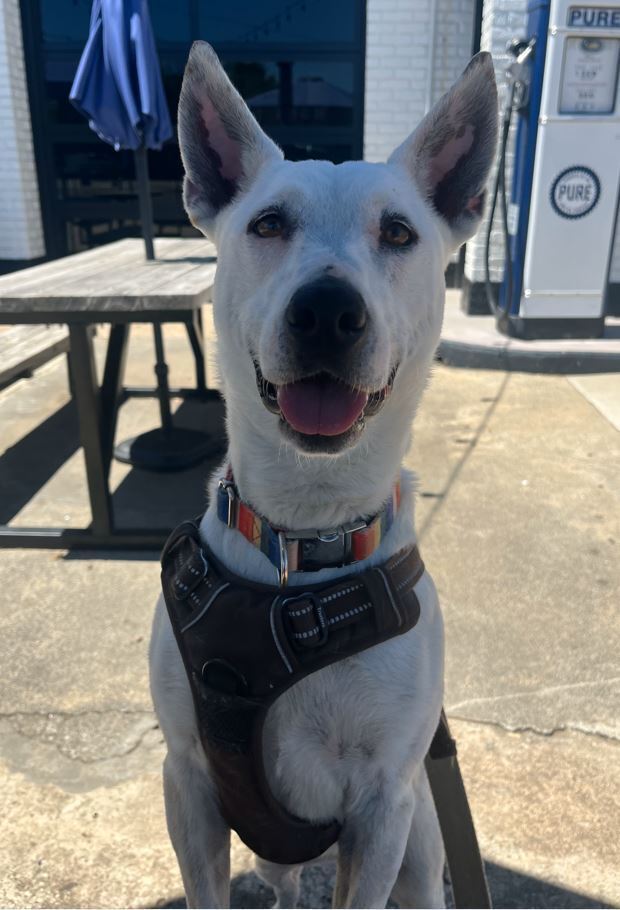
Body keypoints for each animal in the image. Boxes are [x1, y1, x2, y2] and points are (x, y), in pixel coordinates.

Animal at [151, 42, 498, 910]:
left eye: (399, 232)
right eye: (269, 223)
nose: (328, 312)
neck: (303, 541)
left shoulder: (383, 807)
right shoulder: (188, 783)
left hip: (421, 847)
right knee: (285, 883)